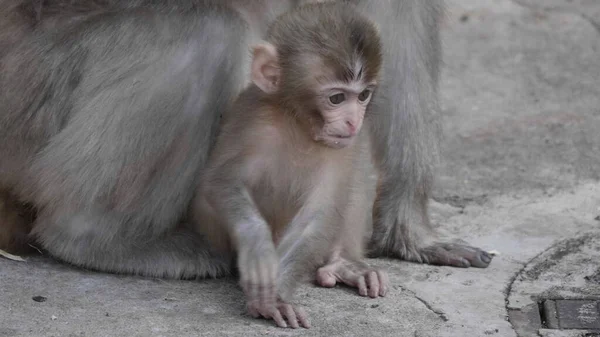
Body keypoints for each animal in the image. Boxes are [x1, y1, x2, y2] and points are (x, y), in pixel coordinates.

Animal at [195, 2, 386, 328]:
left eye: (363, 95)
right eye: (337, 98)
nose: (353, 121)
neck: (297, 123)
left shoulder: (343, 148)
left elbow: (321, 212)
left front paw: (275, 299)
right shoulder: (253, 119)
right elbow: (220, 181)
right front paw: (258, 251)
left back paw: (344, 262)